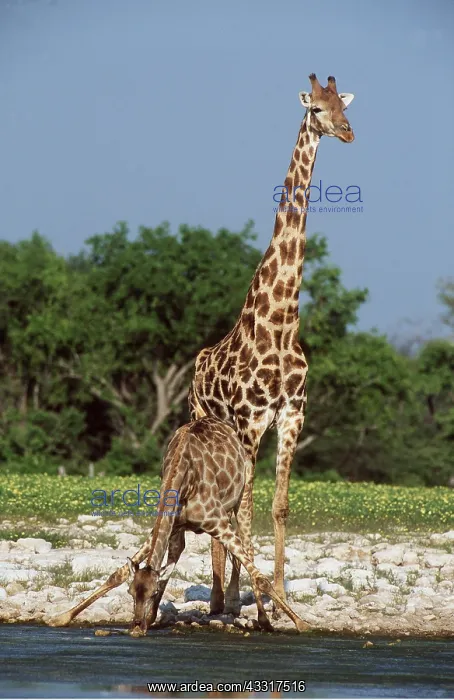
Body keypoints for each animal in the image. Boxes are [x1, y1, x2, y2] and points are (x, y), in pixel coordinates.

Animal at [48, 416, 308, 634]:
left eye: (153, 593)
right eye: (131, 592)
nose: (136, 626)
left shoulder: (218, 522)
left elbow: (260, 576)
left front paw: (301, 623)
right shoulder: (173, 525)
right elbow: (120, 573)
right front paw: (61, 617)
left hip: (242, 498)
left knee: (249, 549)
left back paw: (265, 621)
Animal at [189, 74, 355, 619]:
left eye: (342, 106)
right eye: (317, 109)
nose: (347, 132)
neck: (280, 322)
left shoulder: (292, 414)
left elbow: (279, 506)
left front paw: (279, 598)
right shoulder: (252, 419)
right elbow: (247, 507)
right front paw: (258, 604)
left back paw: (231, 594)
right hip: (209, 421)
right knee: (227, 503)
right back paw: (221, 599)